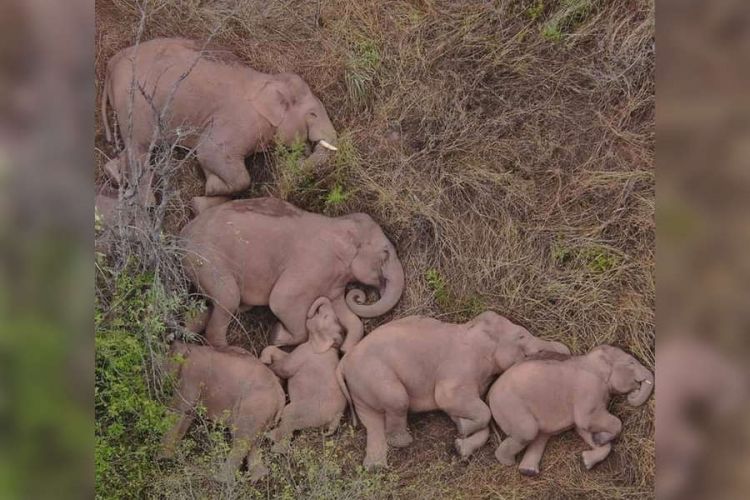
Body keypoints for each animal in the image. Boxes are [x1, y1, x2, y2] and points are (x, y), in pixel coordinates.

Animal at [99, 37, 338, 209]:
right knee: (140, 148)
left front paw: (203, 198)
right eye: (313, 114)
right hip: (136, 102)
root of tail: (111, 64)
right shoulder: (237, 121)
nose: (299, 157)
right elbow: (211, 154)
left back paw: (114, 175)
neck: (269, 80)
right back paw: (148, 203)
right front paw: (211, 189)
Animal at [160, 342, 286, 482]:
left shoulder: (192, 375)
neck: (189, 347)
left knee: (241, 440)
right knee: (254, 442)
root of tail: (281, 396)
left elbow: (179, 408)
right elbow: (188, 414)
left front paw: (163, 459)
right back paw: (258, 477)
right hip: (265, 413)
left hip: (255, 406)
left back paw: (220, 479)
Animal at [180, 197, 406, 354]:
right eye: (385, 253)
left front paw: (346, 348)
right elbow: (281, 300)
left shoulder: (333, 282)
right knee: (228, 297)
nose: (360, 295)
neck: (337, 224)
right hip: (207, 260)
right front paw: (276, 335)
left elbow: (348, 314)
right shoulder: (313, 263)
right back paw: (234, 352)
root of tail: (182, 235)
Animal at [262, 296, 350, 450]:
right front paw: (266, 358)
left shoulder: (305, 353)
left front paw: (265, 363)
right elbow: (283, 356)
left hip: (310, 411)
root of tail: (336, 417)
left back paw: (273, 442)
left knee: (289, 417)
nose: (314, 310)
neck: (331, 346)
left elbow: (285, 368)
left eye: (325, 317)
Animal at [490, 344, 656, 476]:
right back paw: (508, 462)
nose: (634, 392)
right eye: (631, 362)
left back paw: (527, 471)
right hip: (510, 406)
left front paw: (589, 455)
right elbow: (587, 421)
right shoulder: (588, 390)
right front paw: (601, 439)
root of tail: (489, 395)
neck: (591, 360)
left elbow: (583, 429)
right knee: (528, 432)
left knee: (540, 436)